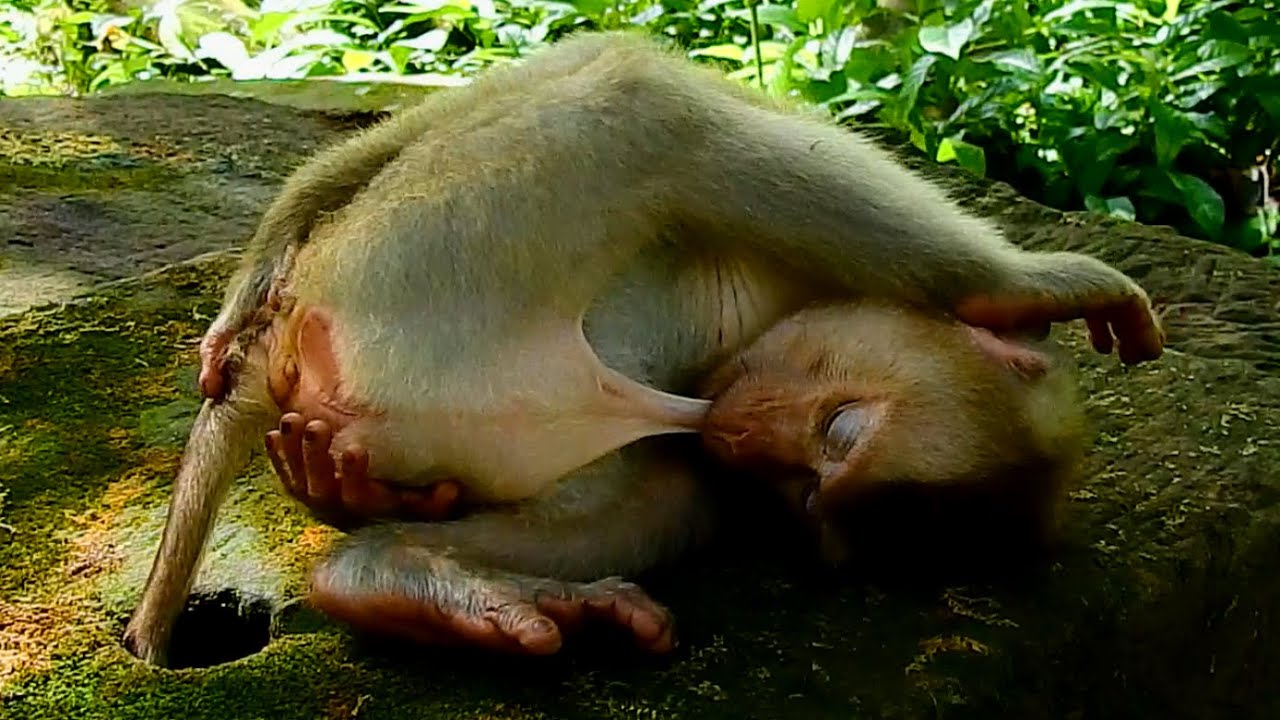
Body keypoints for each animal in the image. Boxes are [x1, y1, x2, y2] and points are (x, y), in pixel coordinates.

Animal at [122, 30, 1163, 666]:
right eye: (841, 426)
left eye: (811, 493)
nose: (736, 434)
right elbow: (583, 70)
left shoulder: (713, 468)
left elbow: (664, 501)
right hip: (399, 262)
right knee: (646, 109)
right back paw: (1019, 281)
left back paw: (397, 584)